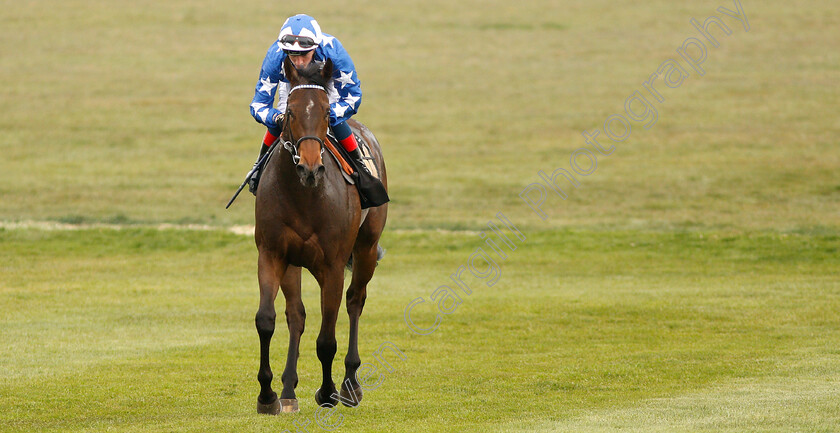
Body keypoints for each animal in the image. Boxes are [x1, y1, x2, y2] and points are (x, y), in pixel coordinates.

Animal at [254, 56, 388, 412]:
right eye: (289, 112)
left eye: (328, 112)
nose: (310, 168)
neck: (304, 196)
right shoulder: (273, 254)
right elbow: (267, 320)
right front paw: (268, 394)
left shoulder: (332, 265)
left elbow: (327, 338)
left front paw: (327, 393)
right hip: (295, 263)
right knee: (296, 316)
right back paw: (288, 389)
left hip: (366, 248)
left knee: (355, 301)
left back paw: (350, 384)